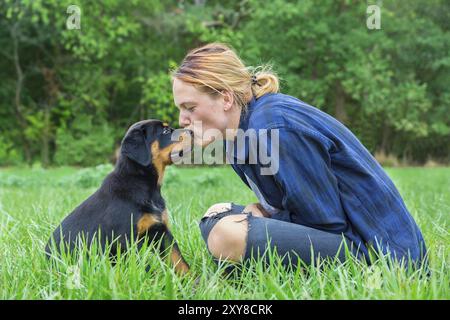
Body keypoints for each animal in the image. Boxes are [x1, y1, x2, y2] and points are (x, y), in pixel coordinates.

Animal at [44, 119, 192, 274]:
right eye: (165, 131)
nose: (192, 132)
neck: (145, 184)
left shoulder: (161, 231)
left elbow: (178, 259)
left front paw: (192, 279)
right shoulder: (125, 239)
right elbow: (142, 267)